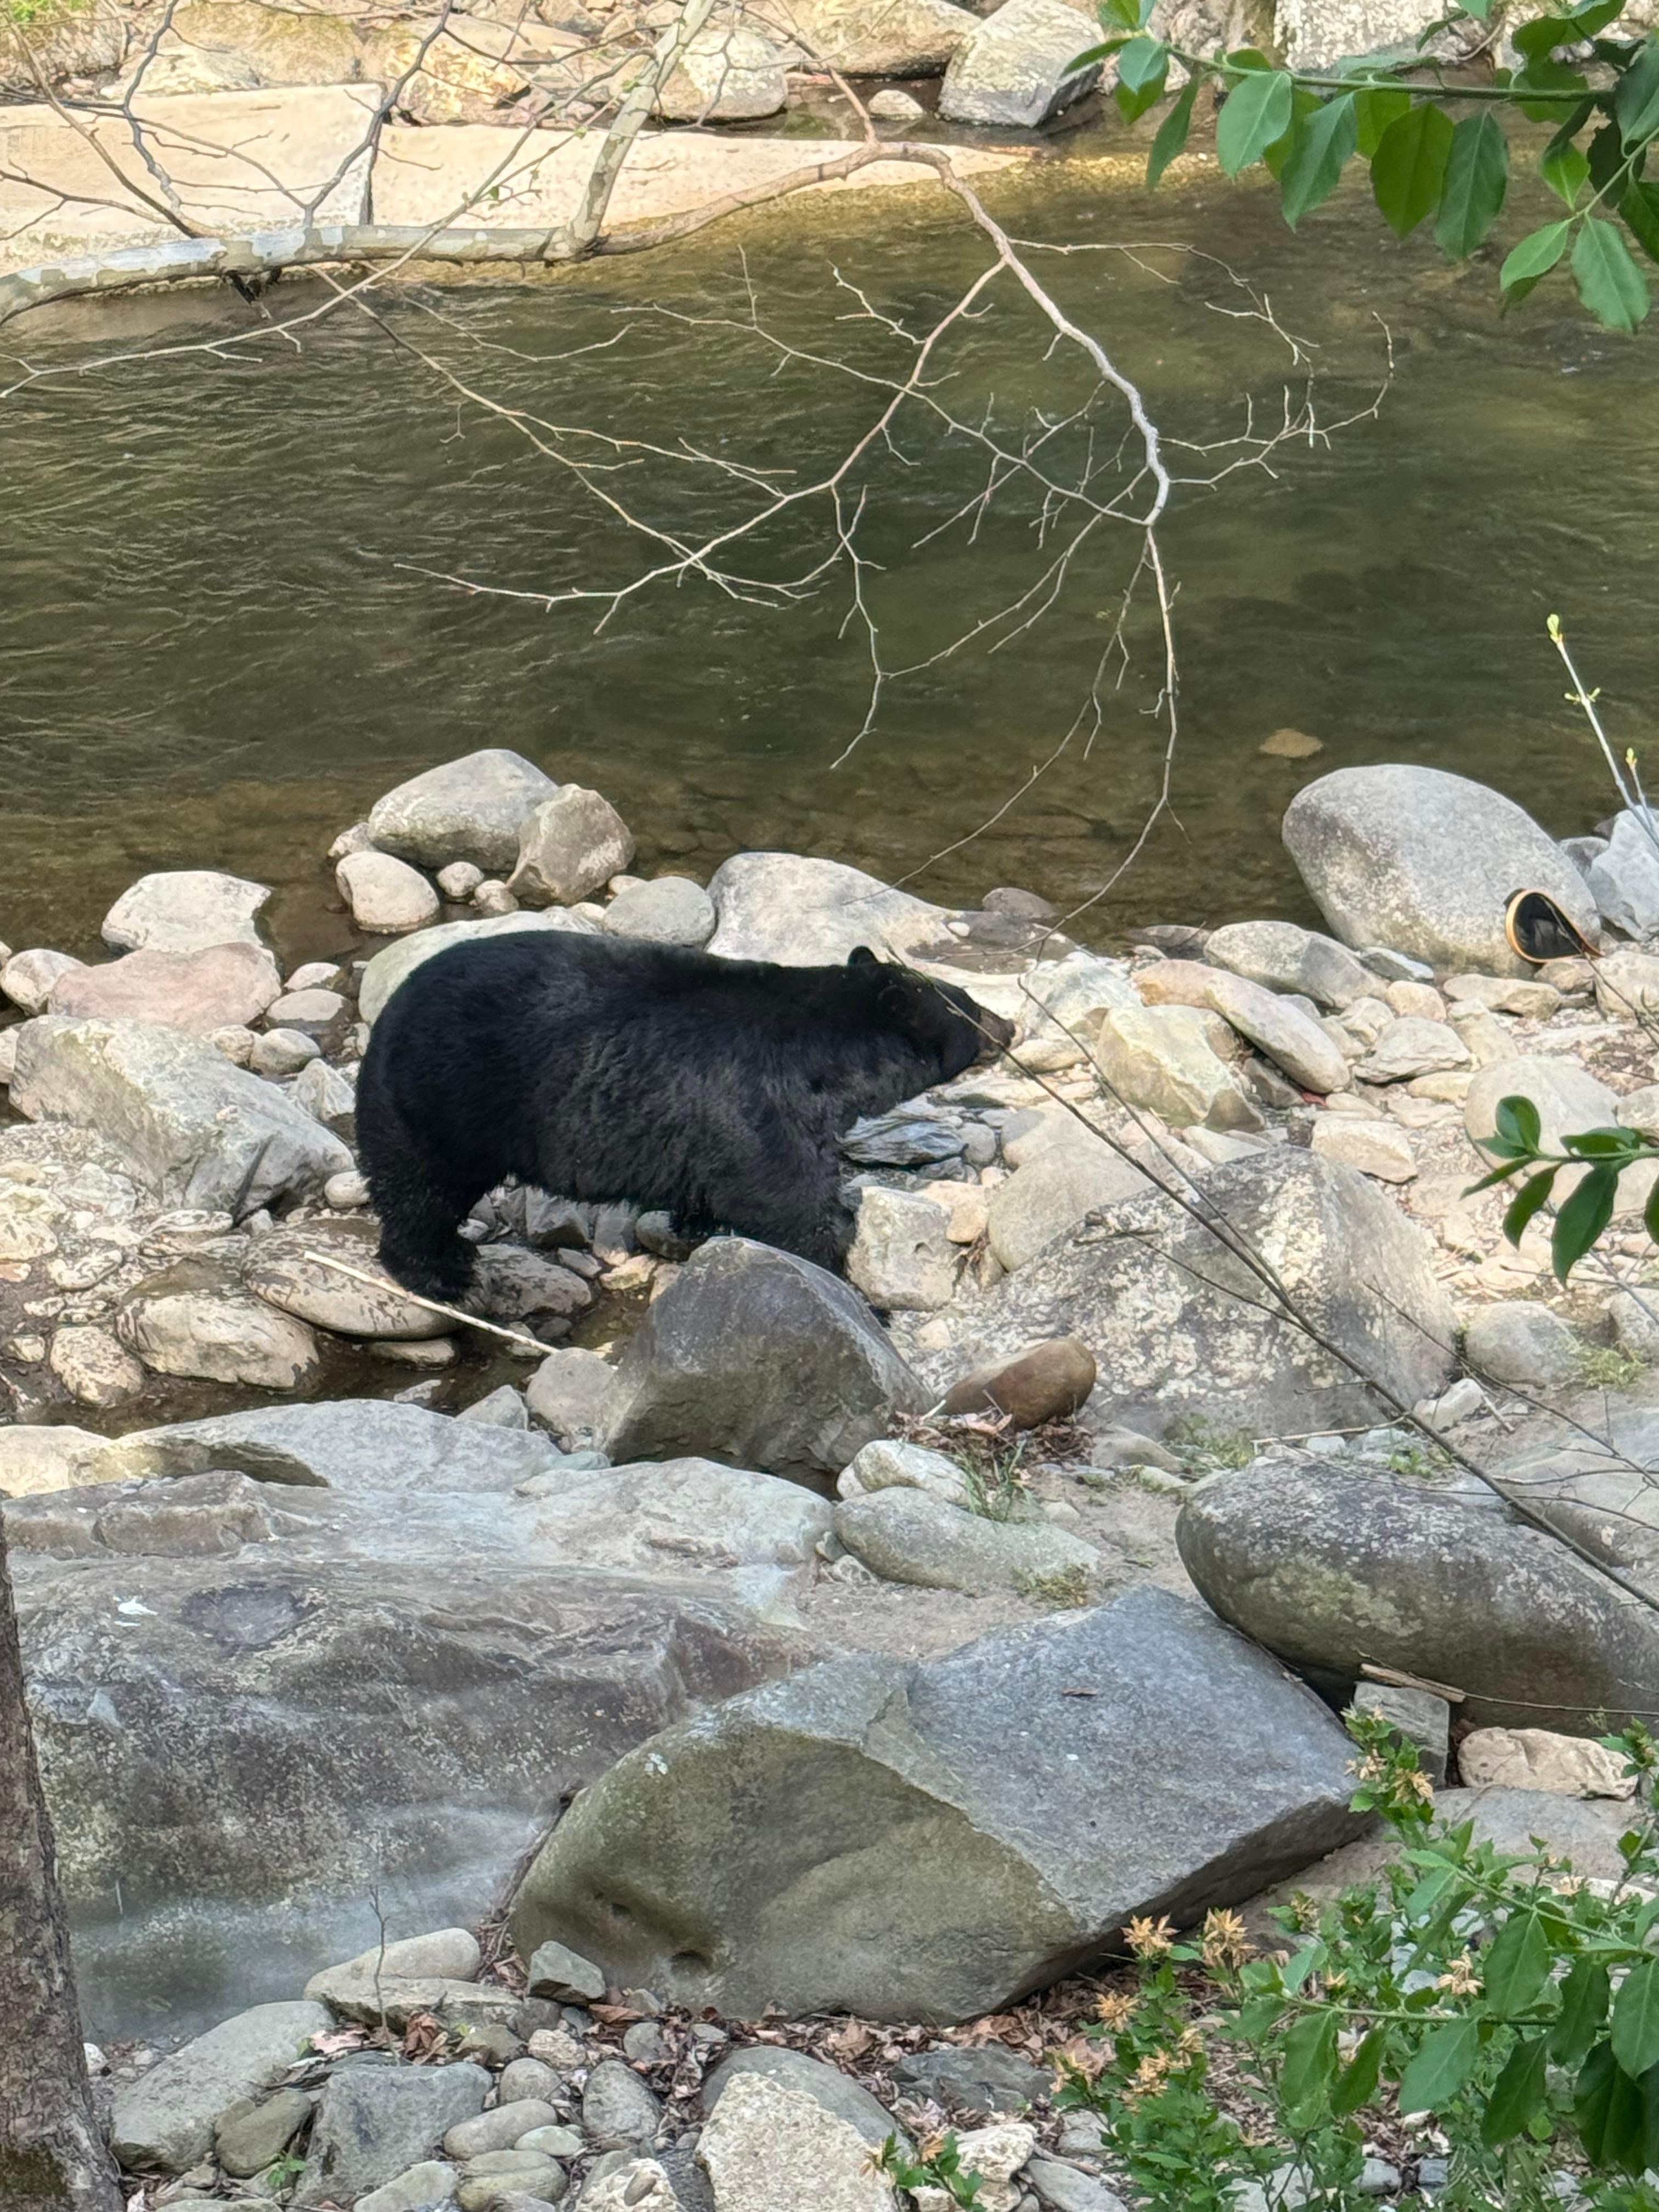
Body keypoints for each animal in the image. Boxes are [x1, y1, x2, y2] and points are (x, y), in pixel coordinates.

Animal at [355, 929, 1015, 1300]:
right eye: (973, 1008)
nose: (1010, 1026)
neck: (826, 1055)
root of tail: (386, 1014)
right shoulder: (761, 1108)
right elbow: (789, 1202)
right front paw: (850, 1283)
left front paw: (694, 1228)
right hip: (439, 1104)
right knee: (419, 1192)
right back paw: (440, 1272)